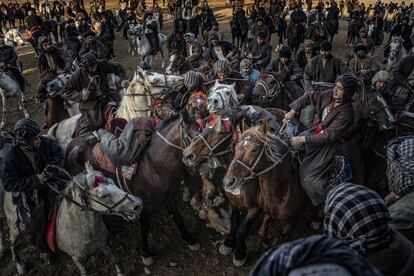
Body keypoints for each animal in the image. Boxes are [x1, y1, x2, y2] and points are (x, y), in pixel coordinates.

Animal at [0, 144, 143, 274]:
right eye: (103, 195)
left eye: (113, 181)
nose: (138, 204)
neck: (81, 229)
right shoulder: (76, 258)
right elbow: (84, 271)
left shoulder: (104, 244)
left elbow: (115, 259)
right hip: (14, 226)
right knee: (12, 242)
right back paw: (19, 264)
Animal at [64, 112, 201, 266]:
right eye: (196, 134)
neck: (155, 165)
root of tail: (71, 145)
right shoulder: (146, 206)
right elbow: (145, 228)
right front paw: (146, 254)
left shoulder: (169, 198)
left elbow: (178, 218)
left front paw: (190, 240)